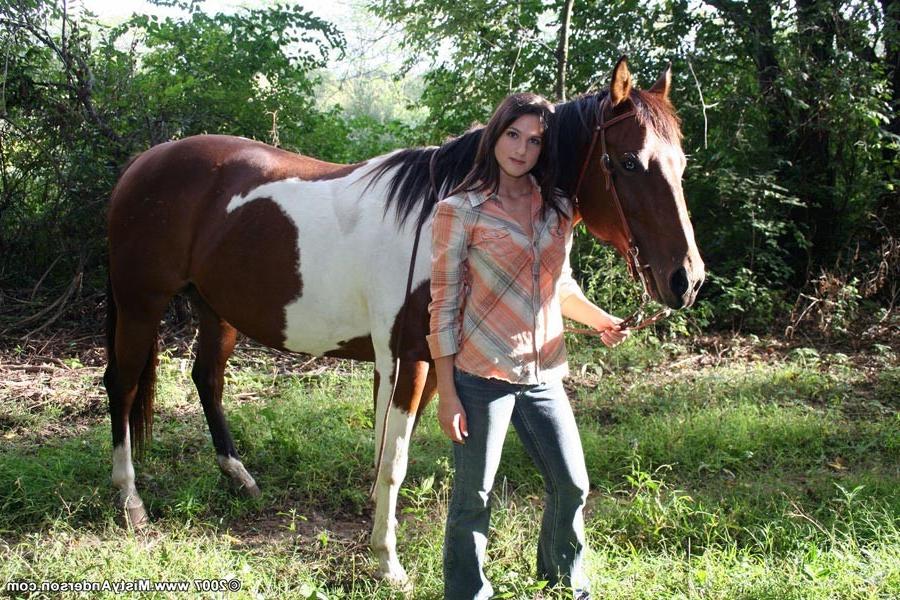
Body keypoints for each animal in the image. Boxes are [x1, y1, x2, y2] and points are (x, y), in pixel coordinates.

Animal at [103, 57, 704, 585]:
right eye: (628, 162)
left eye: (681, 164)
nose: (686, 279)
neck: (435, 214)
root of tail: (142, 164)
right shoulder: (408, 360)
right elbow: (394, 459)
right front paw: (388, 561)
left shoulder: (424, 365)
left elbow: (389, 452)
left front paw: (374, 527)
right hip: (140, 303)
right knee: (123, 385)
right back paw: (131, 502)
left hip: (216, 310)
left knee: (206, 379)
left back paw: (239, 477)